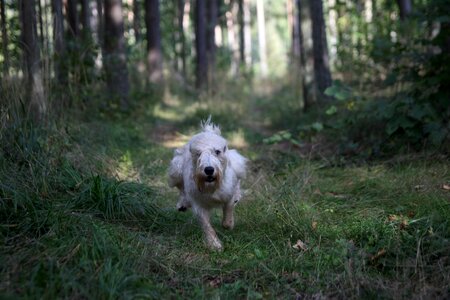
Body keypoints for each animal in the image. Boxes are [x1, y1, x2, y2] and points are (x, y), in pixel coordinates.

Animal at [168, 118, 246, 250]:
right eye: (198, 153)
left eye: (217, 151)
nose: (209, 170)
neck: (211, 186)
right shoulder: (199, 204)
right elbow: (206, 224)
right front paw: (214, 244)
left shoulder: (229, 193)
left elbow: (229, 208)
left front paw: (228, 224)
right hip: (176, 170)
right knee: (181, 187)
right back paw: (183, 203)